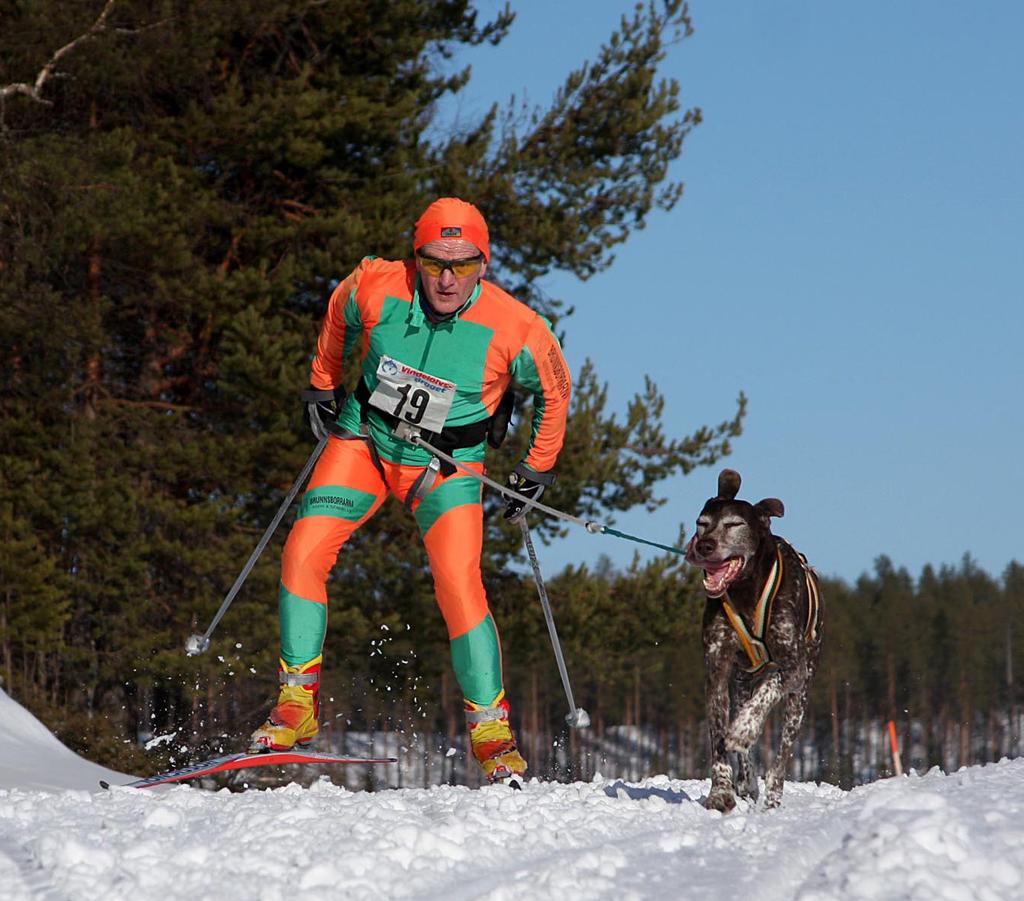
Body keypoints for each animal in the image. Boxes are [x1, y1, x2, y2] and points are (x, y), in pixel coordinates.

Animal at [688, 468, 823, 814]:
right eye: (702, 523)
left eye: (734, 524)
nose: (704, 546)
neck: (746, 591)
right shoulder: (717, 671)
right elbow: (718, 738)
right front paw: (721, 790)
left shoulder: (793, 668)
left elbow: (769, 689)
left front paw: (744, 728)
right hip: (740, 682)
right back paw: (746, 782)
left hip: (800, 697)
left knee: (782, 754)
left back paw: (773, 795)